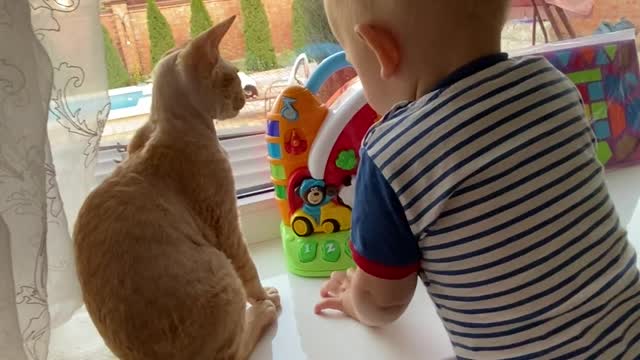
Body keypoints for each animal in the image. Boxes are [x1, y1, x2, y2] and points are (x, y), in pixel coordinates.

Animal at [74, 16, 278, 360]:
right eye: (231, 78)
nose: (242, 97)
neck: (168, 123)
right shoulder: (224, 221)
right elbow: (248, 268)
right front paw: (264, 296)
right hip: (221, 270)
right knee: (233, 351)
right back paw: (262, 313)